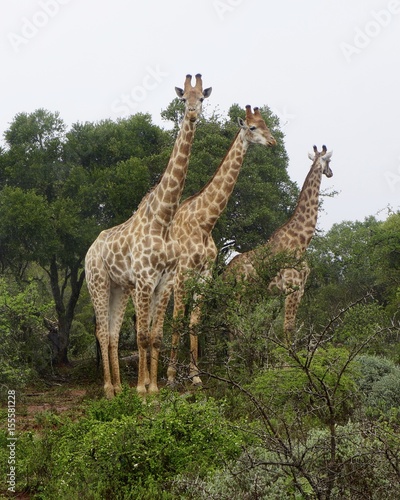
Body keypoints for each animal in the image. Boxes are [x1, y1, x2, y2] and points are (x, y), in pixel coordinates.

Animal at [85, 73, 212, 398]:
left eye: (202, 98)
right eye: (183, 98)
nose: (193, 115)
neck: (163, 219)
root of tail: (89, 250)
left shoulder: (163, 281)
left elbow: (155, 335)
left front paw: (154, 388)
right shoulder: (144, 279)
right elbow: (142, 335)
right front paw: (142, 391)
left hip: (118, 288)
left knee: (113, 333)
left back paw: (119, 387)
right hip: (97, 283)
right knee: (101, 331)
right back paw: (108, 389)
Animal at [166, 105, 276, 386]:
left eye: (266, 124)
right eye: (252, 127)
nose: (273, 142)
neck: (205, 223)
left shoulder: (205, 274)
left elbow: (194, 322)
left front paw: (195, 376)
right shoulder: (184, 273)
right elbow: (177, 320)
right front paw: (171, 377)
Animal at [227, 145, 332, 340]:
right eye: (329, 161)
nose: (330, 172)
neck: (301, 240)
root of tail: (227, 270)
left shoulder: (300, 290)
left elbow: (288, 326)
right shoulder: (292, 287)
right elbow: (288, 328)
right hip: (239, 293)